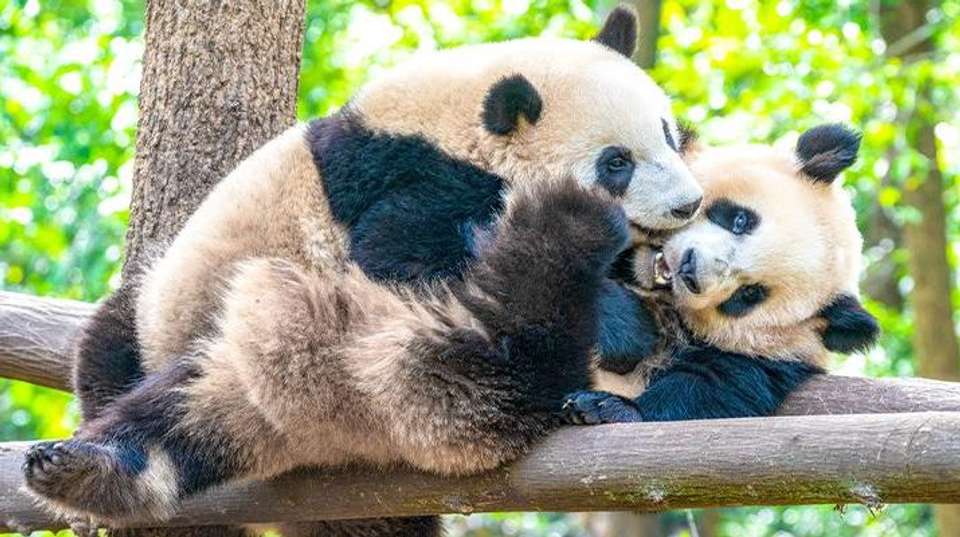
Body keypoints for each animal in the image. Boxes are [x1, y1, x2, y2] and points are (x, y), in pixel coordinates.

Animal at [22, 6, 702, 533]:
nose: (687, 204)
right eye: (617, 162)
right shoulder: (416, 186)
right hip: (187, 320)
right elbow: (414, 270)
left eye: (669, 135)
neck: (459, 127)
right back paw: (93, 467)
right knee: (154, 382)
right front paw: (623, 321)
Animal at [564, 124, 880, 425]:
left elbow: (711, 383)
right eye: (741, 220)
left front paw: (609, 407)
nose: (689, 268)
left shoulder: (776, 356)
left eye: (749, 293)